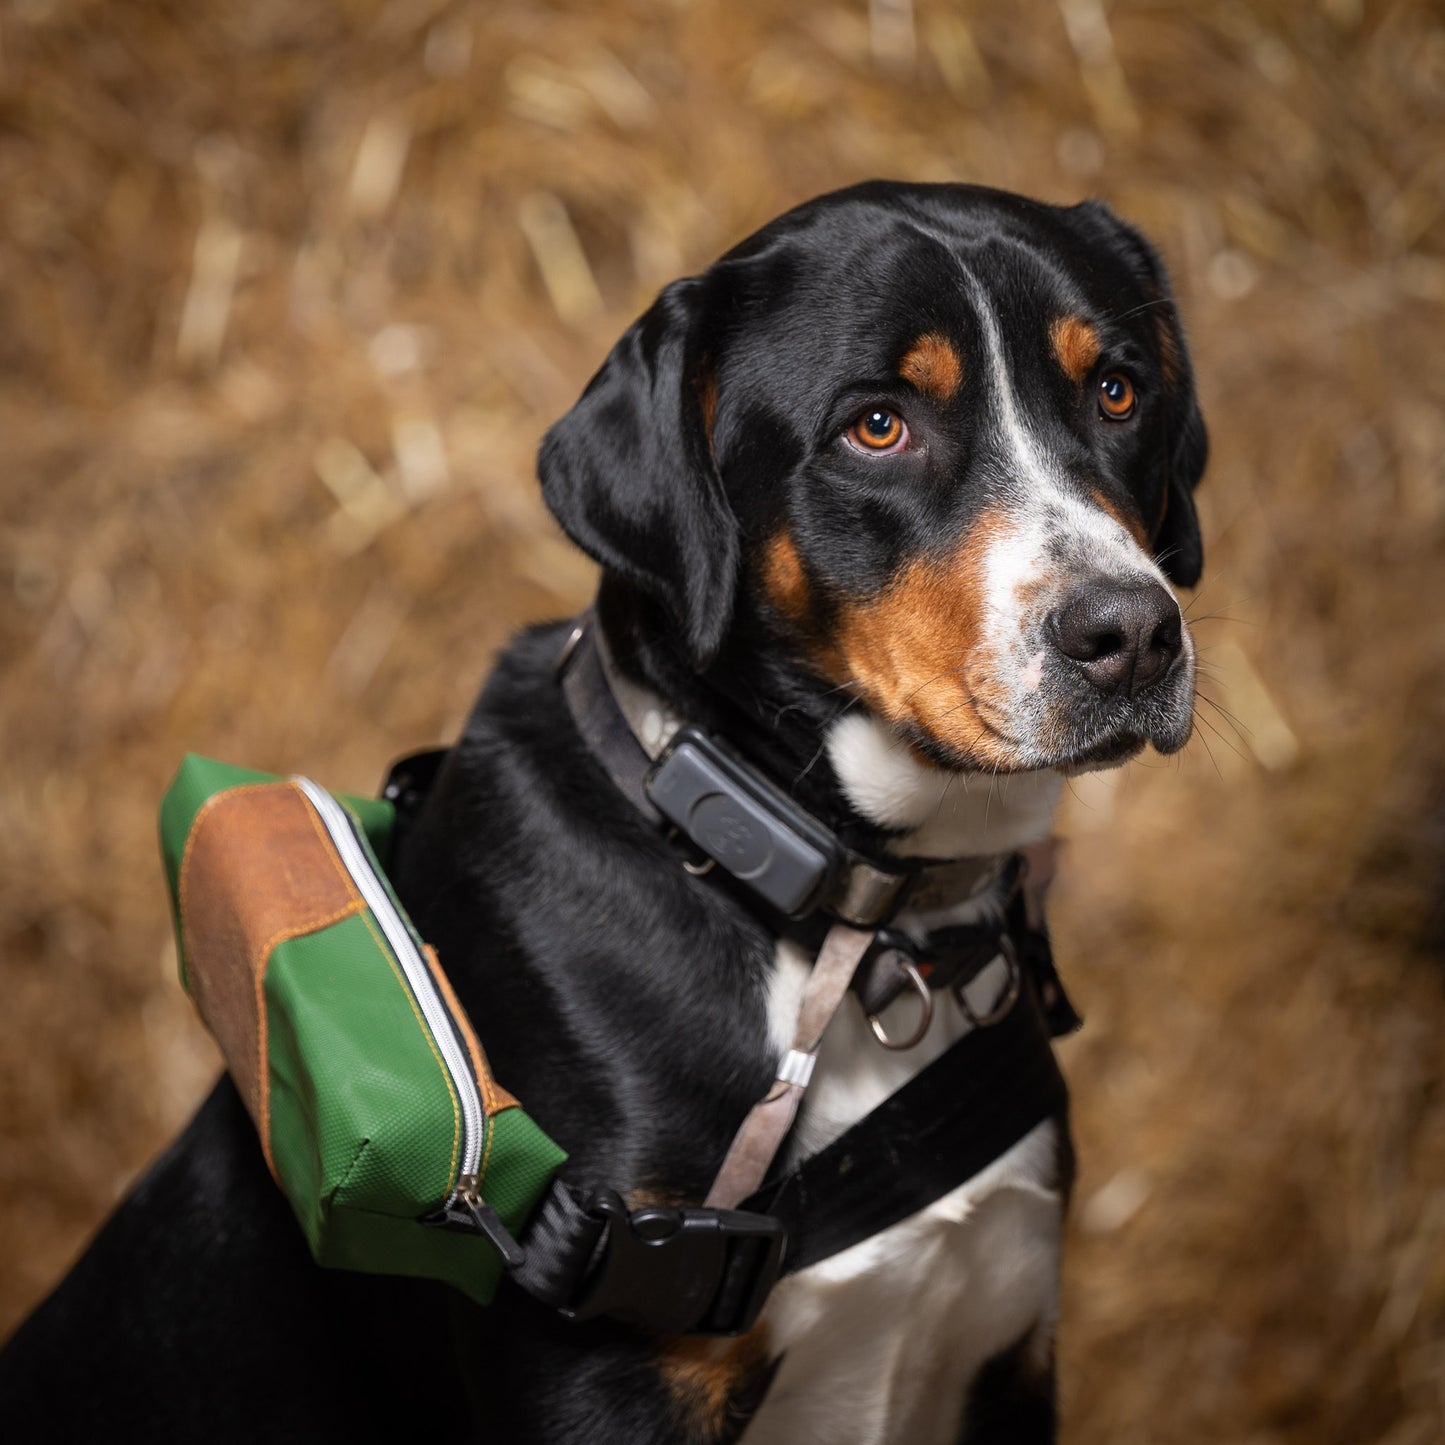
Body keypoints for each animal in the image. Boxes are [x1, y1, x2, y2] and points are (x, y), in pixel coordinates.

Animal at [0, 183, 1208, 1445]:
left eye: (1115, 390)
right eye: (876, 426)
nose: (1129, 631)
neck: (844, 921)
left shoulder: (1008, 1354)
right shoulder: (610, 1374)